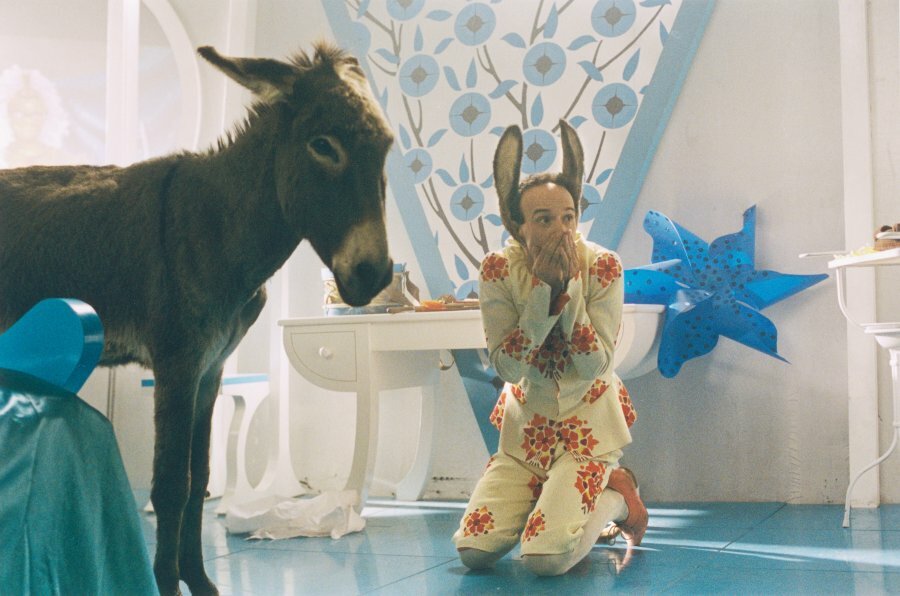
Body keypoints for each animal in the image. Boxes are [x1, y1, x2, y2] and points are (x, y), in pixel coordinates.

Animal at [0, 42, 394, 595]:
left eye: (386, 147)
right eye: (323, 145)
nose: (373, 275)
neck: (219, 226)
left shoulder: (211, 370)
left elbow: (200, 477)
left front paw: (201, 582)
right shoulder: (178, 364)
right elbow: (171, 483)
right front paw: (166, 583)